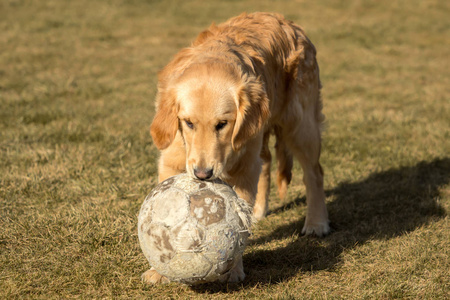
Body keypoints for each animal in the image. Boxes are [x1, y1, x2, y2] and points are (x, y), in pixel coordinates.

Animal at [146, 11, 328, 284]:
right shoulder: (171, 160)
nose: (202, 175)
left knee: (314, 173)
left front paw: (233, 270)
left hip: (299, 125)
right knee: (266, 163)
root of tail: (288, 22)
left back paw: (317, 223)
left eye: (222, 124)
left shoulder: (243, 167)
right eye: (188, 123)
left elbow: (238, 226)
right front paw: (159, 270)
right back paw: (260, 210)